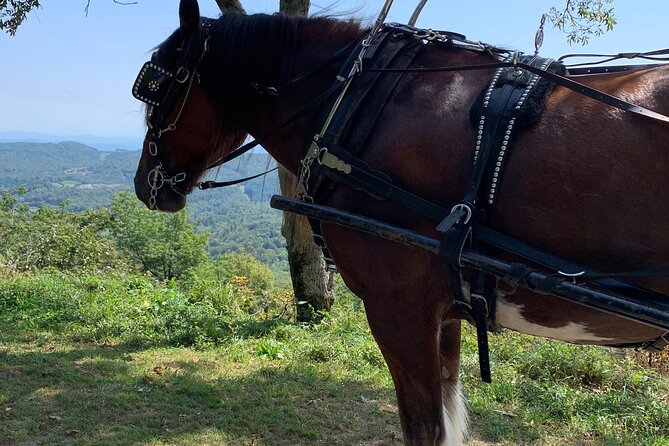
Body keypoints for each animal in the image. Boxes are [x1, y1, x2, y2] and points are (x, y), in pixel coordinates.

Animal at [133, 1, 669, 444]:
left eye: (157, 91)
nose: (144, 184)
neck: (358, 98)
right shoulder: (447, 310)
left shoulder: (399, 309)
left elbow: (424, 428)